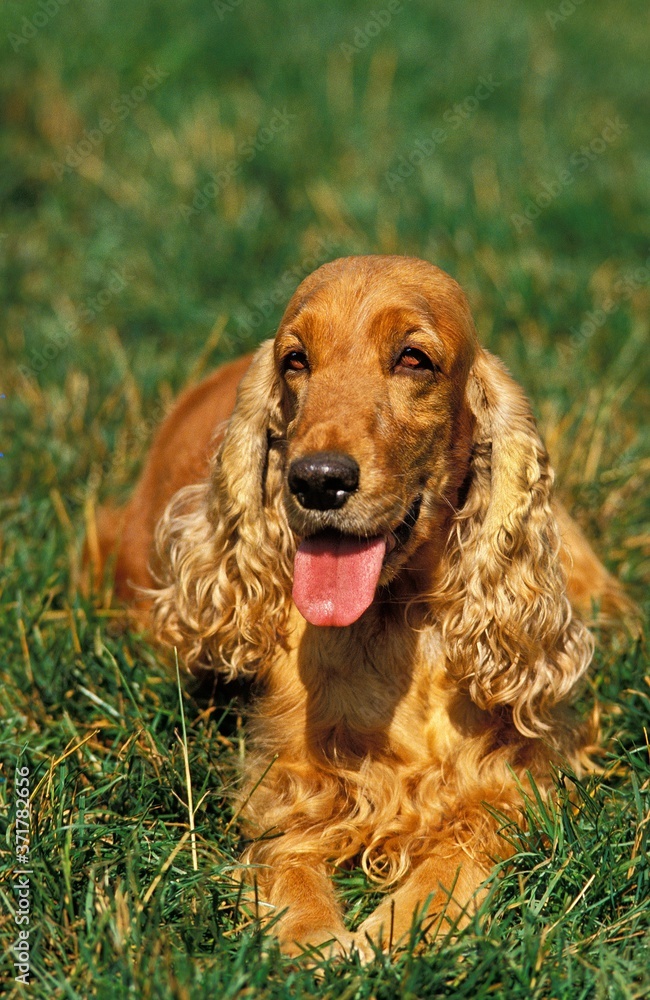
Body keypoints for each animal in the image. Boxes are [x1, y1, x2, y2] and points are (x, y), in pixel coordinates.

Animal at [91, 254, 628, 956]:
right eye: (296, 360)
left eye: (413, 359)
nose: (318, 480)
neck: (393, 617)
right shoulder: (290, 783)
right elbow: (290, 867)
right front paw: (315, 941)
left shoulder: (511, 776)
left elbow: (454, 857)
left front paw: (390, 936)